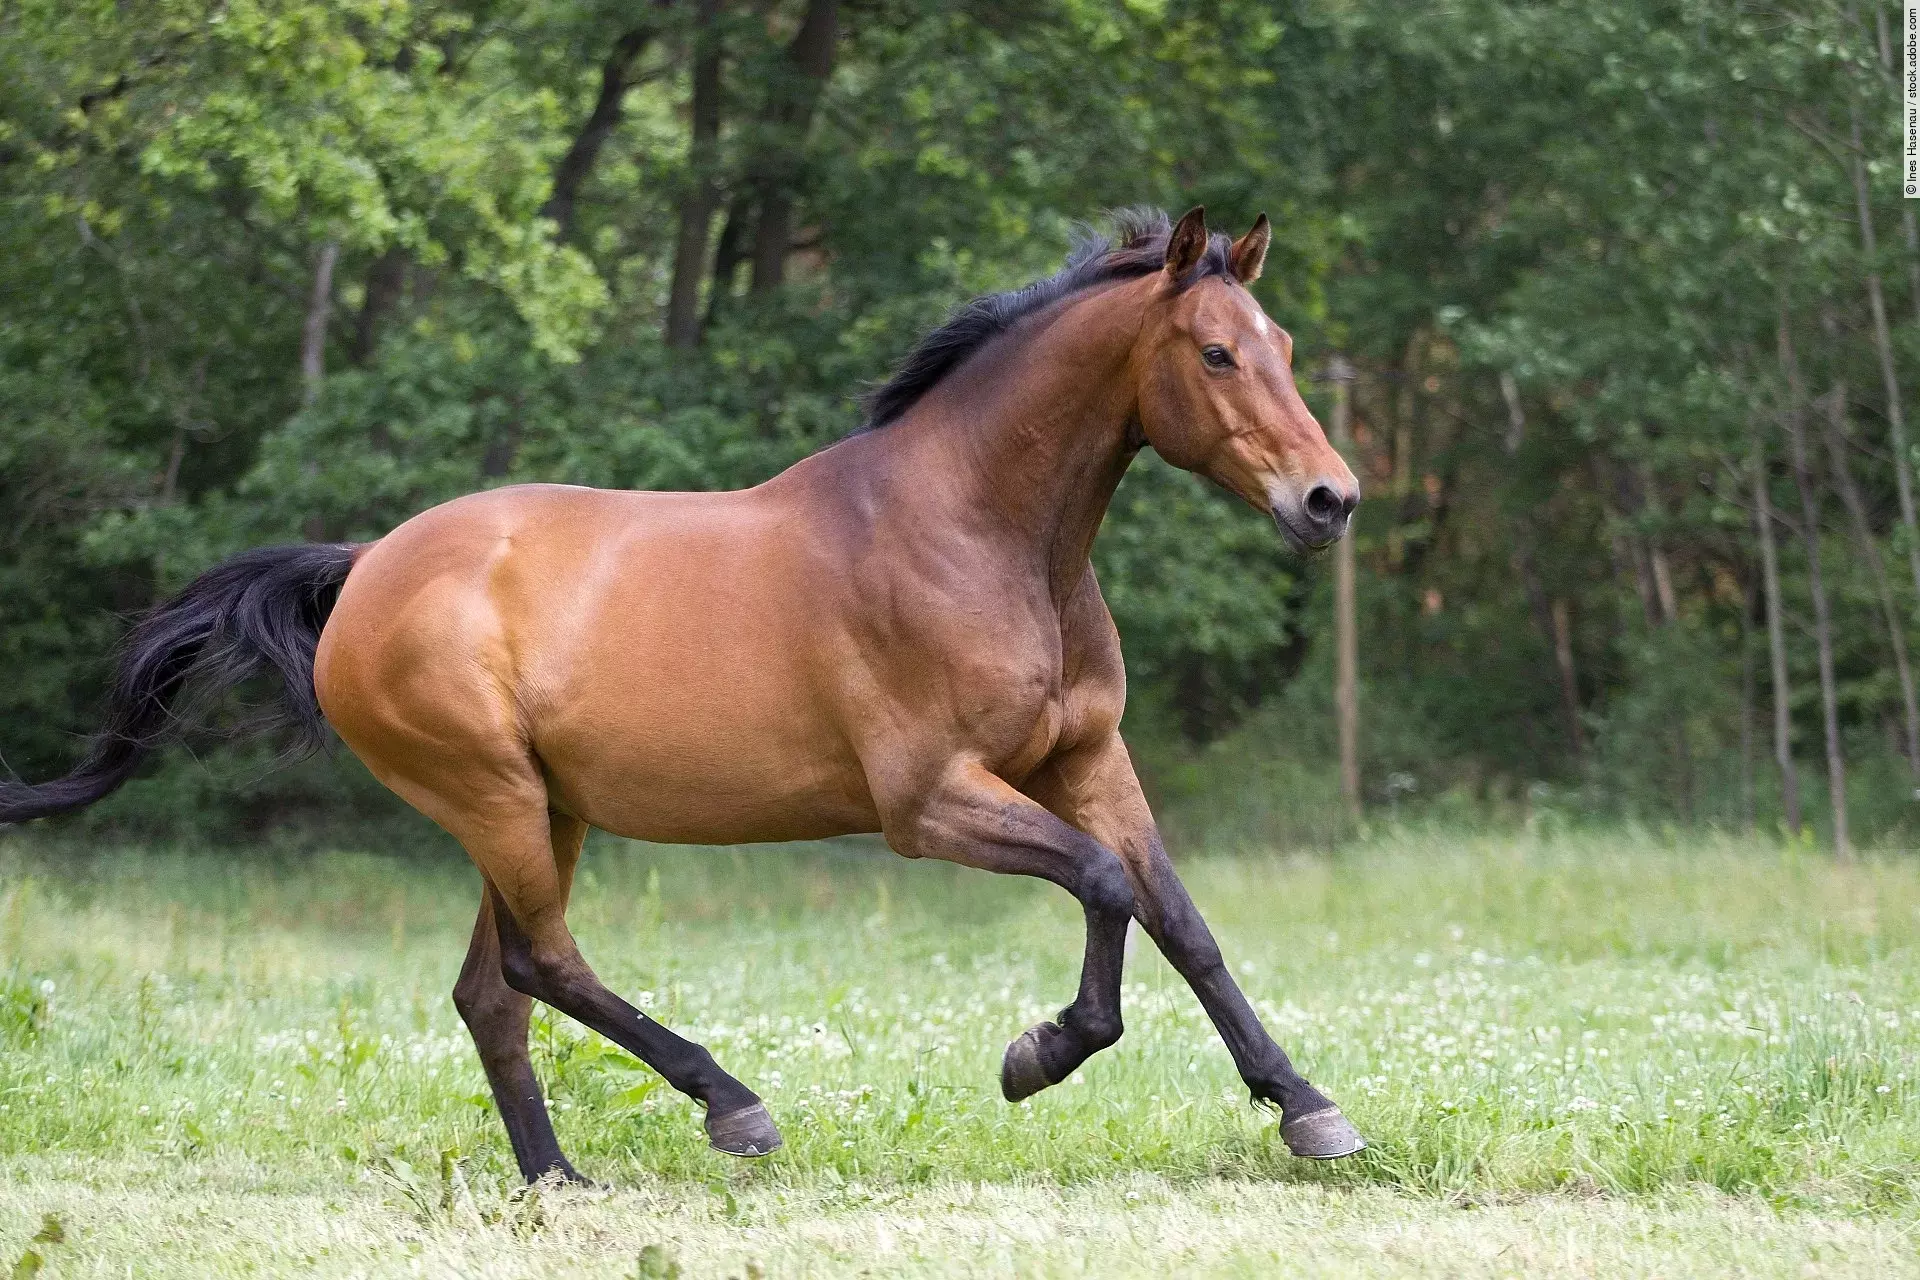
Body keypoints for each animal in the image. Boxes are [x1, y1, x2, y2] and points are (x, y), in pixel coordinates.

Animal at [0, 206, 1364, 1180]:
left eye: (1292, 350)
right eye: (1215, 352)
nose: (1330, 500)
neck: (981, 532)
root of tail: (367, 565)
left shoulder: (1087, 759)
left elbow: (1179, 917)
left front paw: (1307, 1106)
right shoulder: (929, 801)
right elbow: (1102, 883)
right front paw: (1038, 1056)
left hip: (543, 809)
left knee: (492, 992)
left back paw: (558, 1180)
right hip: (496, 798)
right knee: (543, 962)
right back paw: (733, 1105)